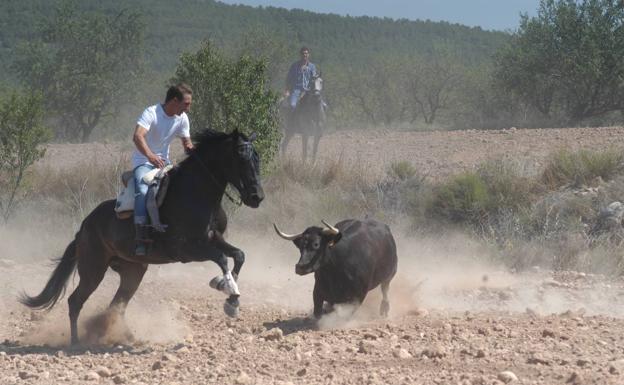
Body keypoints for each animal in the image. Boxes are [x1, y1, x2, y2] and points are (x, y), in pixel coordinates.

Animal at [20, 129, 264, 344]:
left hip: (133, 271)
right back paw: (76, 342)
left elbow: (239, 255)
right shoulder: (187, 250)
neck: (196, 194)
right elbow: (222, 258)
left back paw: (126, 336)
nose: (257, 197)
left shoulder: (214, 239)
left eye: (257, 158)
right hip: (93, 270)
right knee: (75, 302)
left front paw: (230, 295)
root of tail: (83, 227)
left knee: (116, 305)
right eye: (241, 158)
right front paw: (227, 291)